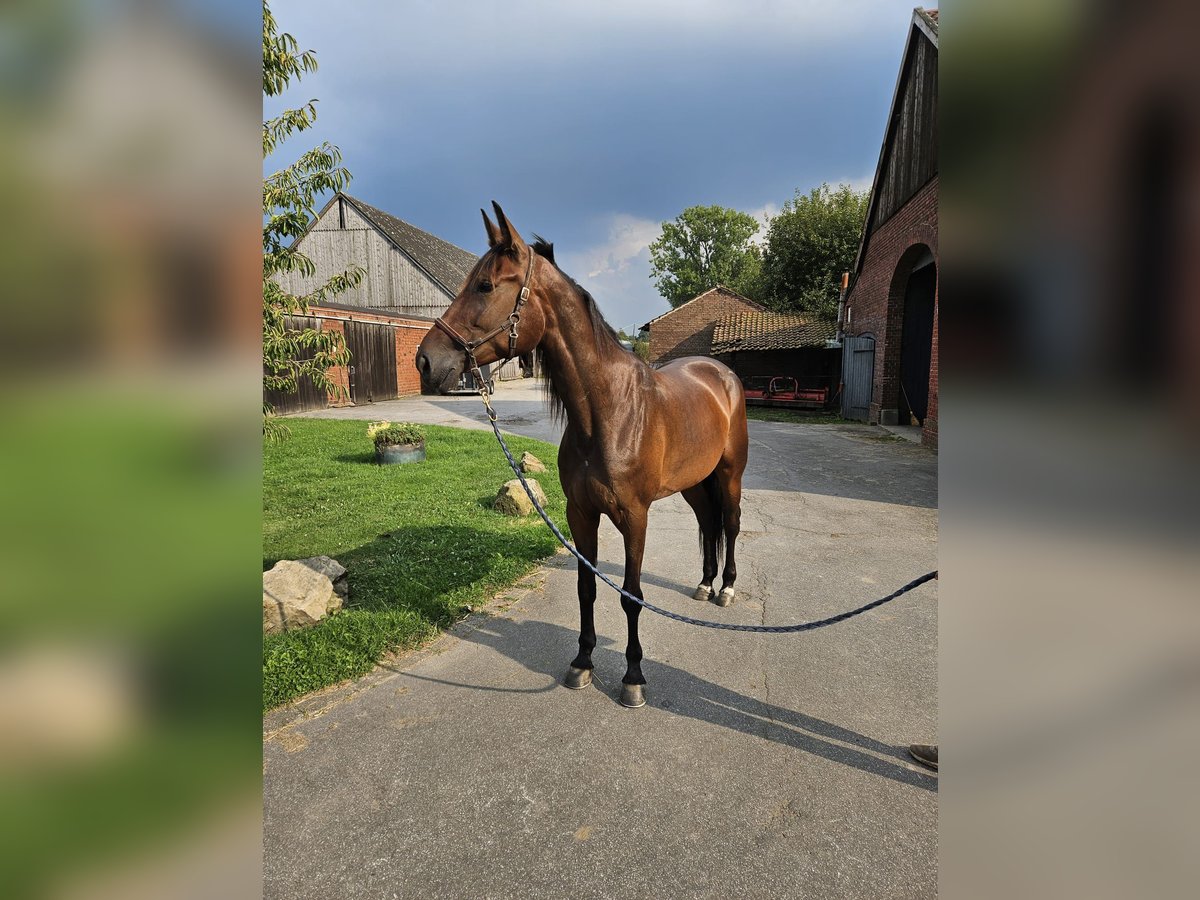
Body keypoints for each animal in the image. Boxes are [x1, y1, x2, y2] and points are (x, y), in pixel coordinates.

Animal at [417, 200, 744, 710]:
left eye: (485, 285)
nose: (426, 361)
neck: (607, 411)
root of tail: (720, 373)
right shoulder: (580, 513)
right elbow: (586, 588)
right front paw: (582, 663)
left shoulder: (634, 517)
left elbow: (630, 595)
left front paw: (633, 677)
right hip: (693, 483)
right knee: (708, 523)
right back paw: (706, 584)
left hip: (729, 475)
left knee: (729, 521)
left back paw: (726, 588)